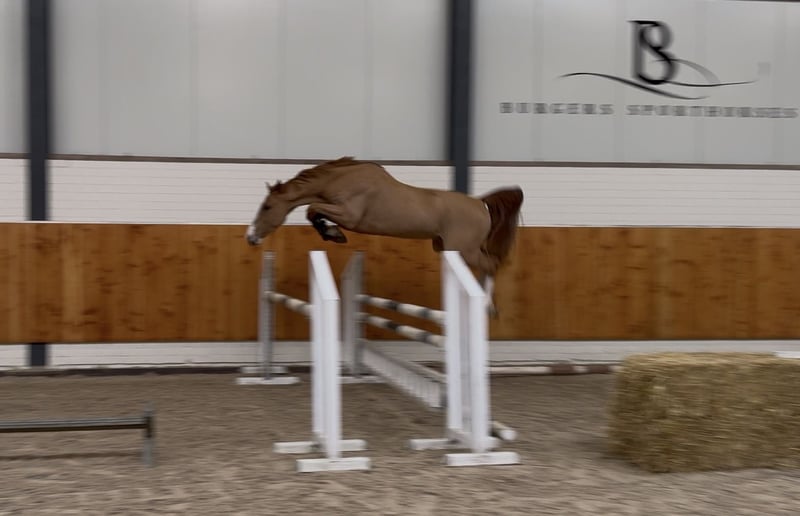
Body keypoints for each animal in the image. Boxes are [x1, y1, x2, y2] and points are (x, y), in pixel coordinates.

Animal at [245, 157, 523, 314]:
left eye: (267, 207)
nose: (251, 237)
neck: (341, 179)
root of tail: (480, 204)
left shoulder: (350, 215)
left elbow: (312, 209)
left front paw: (334, 234)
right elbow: (312, 211)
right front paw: (332, 233)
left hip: (464, 250)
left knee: (491, 264)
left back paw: (488, 306)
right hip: (445, 248)